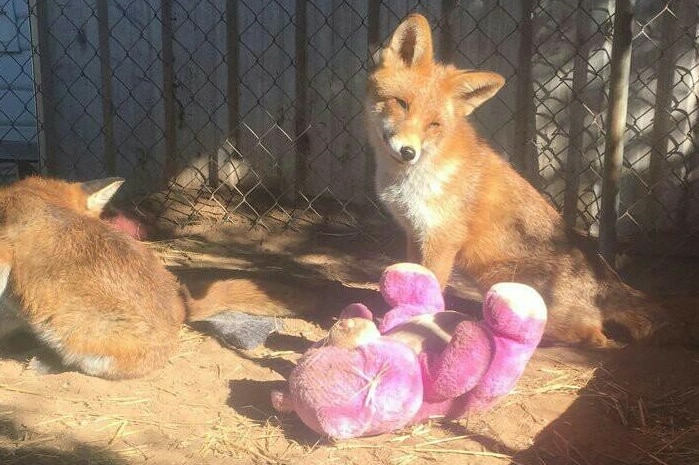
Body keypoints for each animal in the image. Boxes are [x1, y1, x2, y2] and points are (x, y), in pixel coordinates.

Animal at [366, 12, 688, 346]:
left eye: (434, 125)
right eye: (401, 104)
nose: (408, 152)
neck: (410, 177)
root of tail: (607, 277)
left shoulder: (441, 239)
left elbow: (431, 288)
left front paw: (416, 324)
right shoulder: (415, 233)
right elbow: (412, 278)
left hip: (503, 278)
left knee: (594, 337)